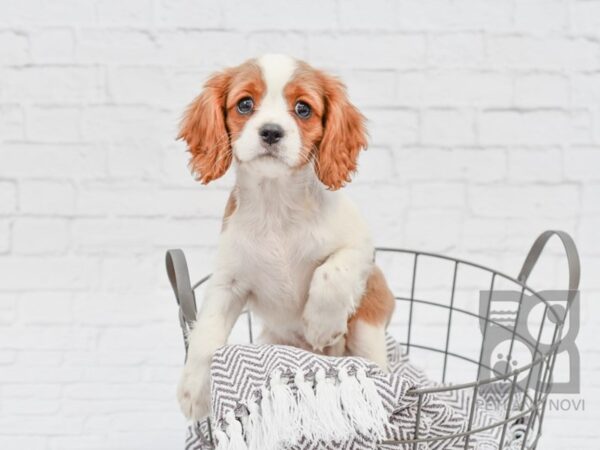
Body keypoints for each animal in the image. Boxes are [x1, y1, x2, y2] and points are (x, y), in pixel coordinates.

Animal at [176, 54, 396, 420]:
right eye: (245, 104)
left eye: (303, 109)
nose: (271, 132)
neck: (276, 203)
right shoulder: (228, 282)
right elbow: (206, 332)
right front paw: (194, 389)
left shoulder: (361, 245)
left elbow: (333, 271)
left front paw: (321, 325)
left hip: (369, 327)